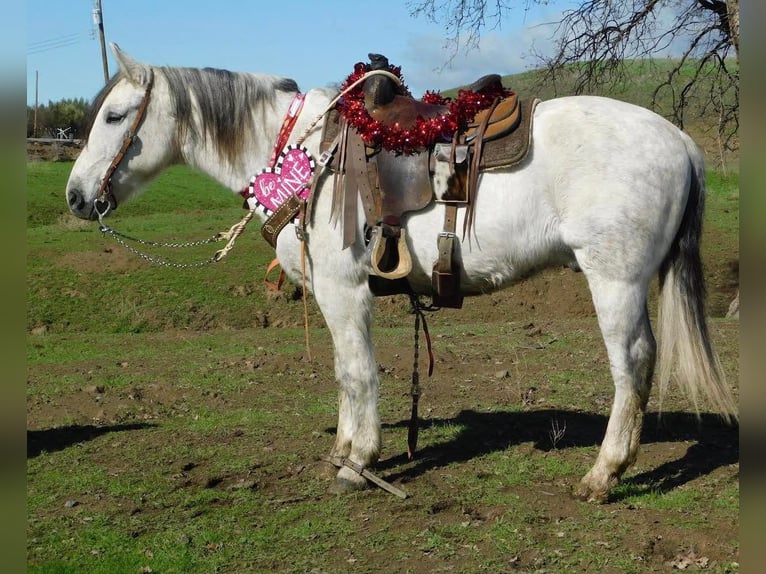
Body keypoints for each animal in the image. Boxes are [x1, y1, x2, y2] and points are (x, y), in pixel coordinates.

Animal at [69, 45, 740, 504]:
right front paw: (344, 449)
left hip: (616, 282)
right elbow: (345, 375)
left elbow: (357, 372)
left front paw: (357, 462)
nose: (76, 198)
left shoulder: (344, 290)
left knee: (634, 365)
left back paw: (604, 474)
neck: (300, 154)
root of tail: (679, 140)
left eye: (116, 116)